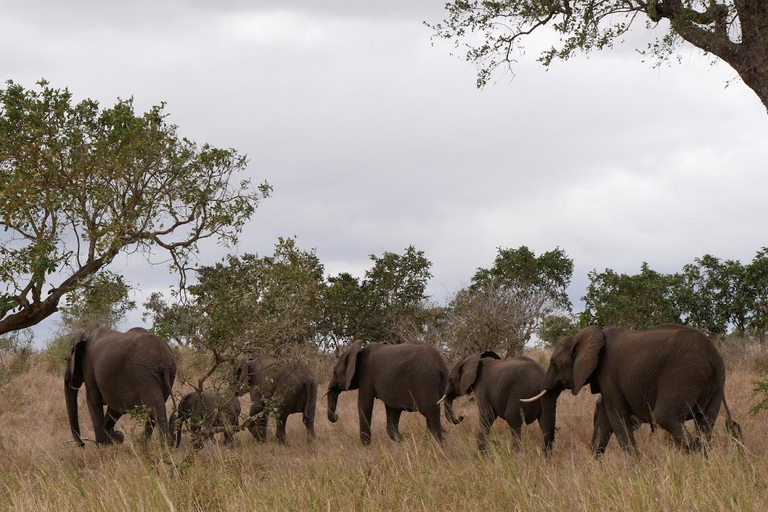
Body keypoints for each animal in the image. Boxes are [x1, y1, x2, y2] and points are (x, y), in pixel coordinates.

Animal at [520, 324, 740, 456]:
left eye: (554, 363)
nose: (546, 458)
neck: (586, 335)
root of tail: (712, 355)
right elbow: (605, 420)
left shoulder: (608, 373)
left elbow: (616, 417)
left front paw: (635, 466)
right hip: (712, 382)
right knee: (706, 422)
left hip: (683, 375)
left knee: (665, 416)